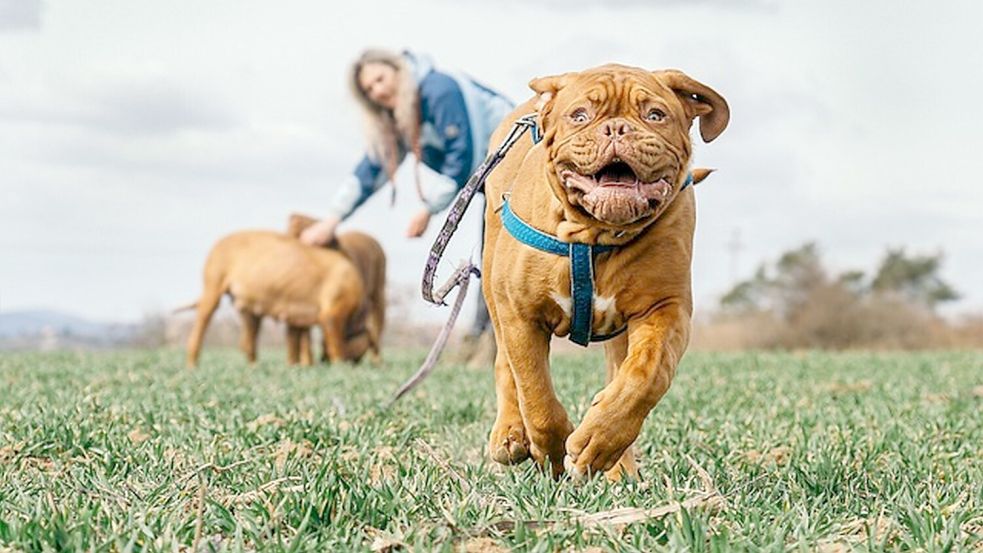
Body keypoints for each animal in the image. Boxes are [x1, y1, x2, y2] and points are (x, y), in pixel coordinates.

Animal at [480, 63, 728, 478]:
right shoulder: (521, 314)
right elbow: (535, 392)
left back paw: (617, 466)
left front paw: (598, 441)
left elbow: (646, 375)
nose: (615, 128)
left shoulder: (665, 308)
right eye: (580, 116)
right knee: (505, 366)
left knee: (618, 372)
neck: (594, 234)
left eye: (655, 115)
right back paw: (510, 435)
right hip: (492, 284)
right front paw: (552, 452)